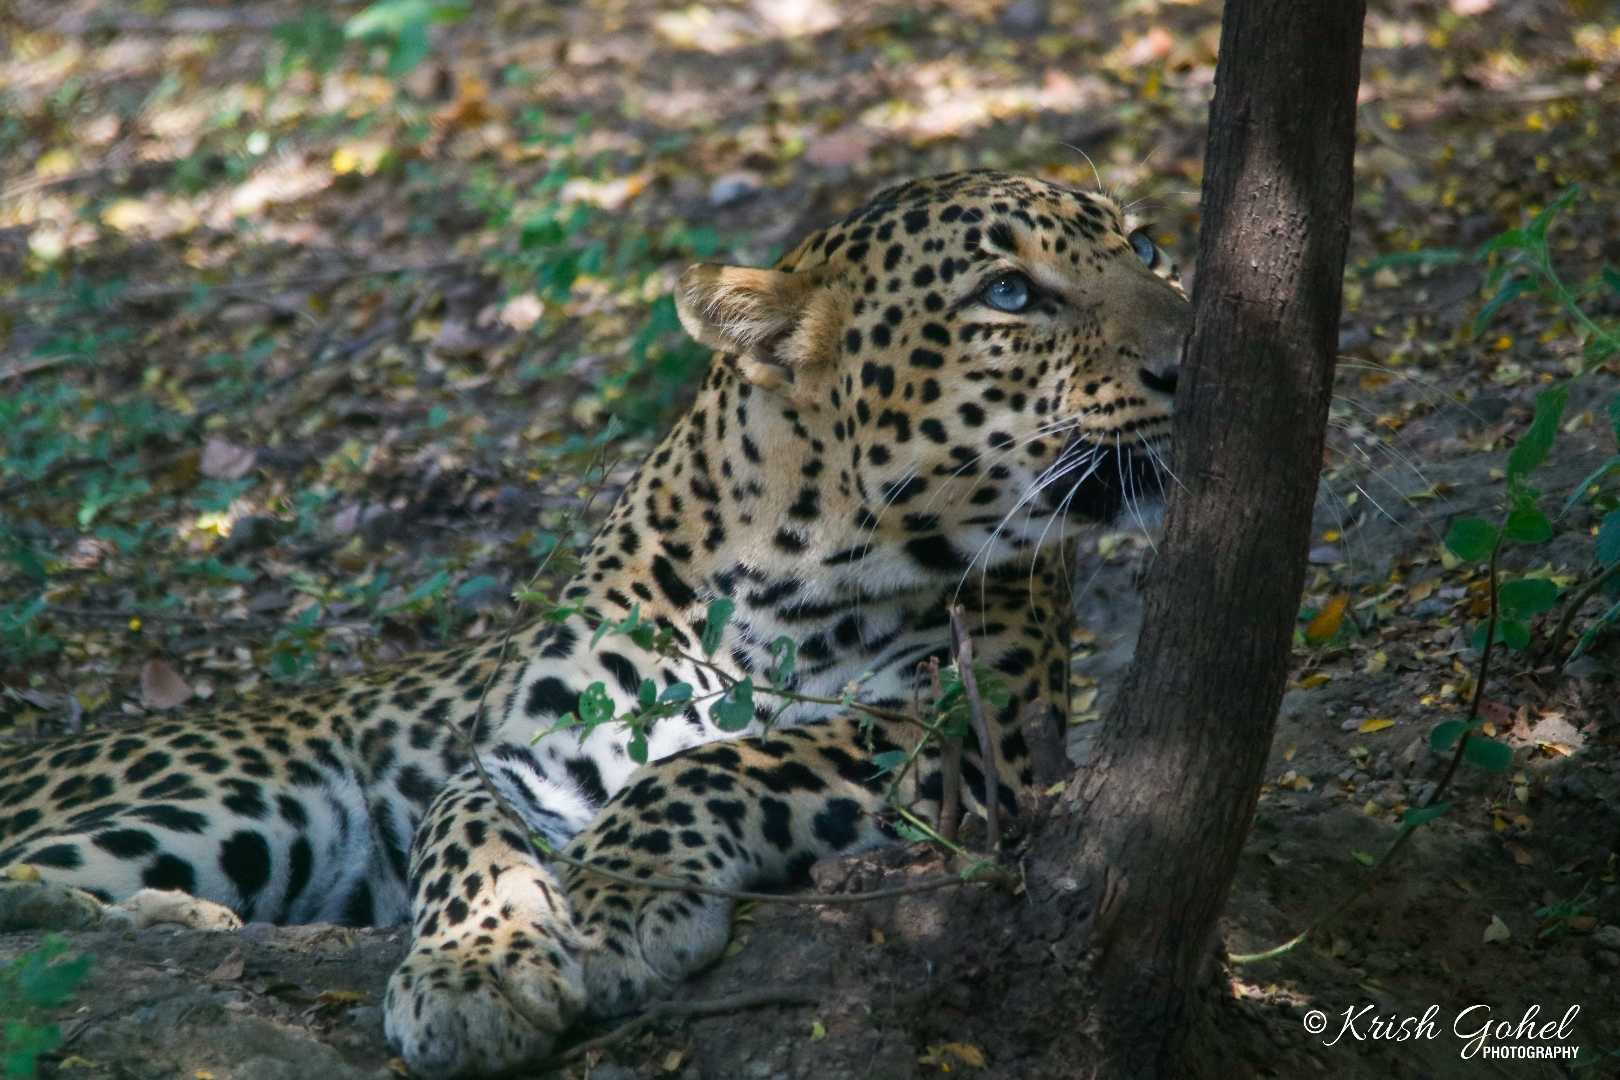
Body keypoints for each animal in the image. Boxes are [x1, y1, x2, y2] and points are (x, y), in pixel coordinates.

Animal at [0, 170, 1191, 1077]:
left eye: (1145, 246)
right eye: (1009, 292)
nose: (1195, 353)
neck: (783, 569)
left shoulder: (969, 736)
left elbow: (722, 764)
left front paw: (616, 900)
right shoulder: (526, 757)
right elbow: (462, 834)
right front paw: (472, 970)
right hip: (238, 798)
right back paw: (175, 921)